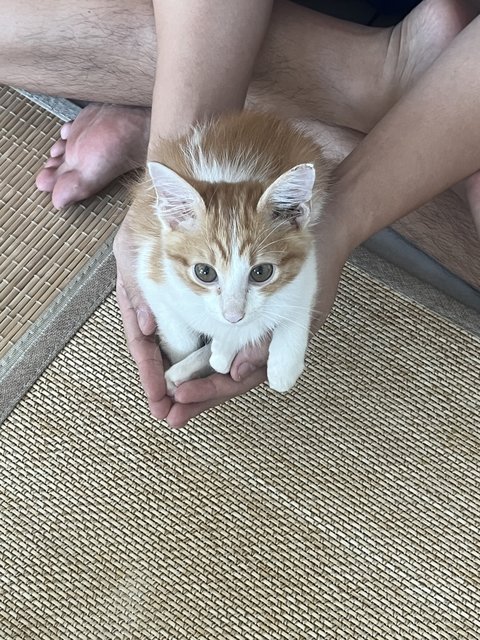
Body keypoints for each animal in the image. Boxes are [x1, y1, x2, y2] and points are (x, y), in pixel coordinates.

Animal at [127, 112, 330, 392]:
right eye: (204, 272)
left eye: (261, 272)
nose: (233, 316)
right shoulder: (152, 267)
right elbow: (180, 336)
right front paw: (183, 361)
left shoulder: (305, 262)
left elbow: (295, 299)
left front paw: (281, 363)